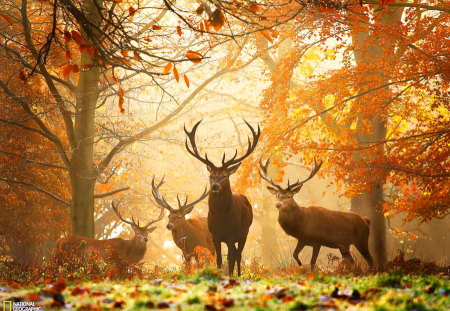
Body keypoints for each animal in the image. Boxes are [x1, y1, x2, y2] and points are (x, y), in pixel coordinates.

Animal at [184, 120, 260, 276]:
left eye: (225, 175)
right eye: (211, 175)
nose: (215, 186)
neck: (222, 218)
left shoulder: (232, 235)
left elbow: (230, 259)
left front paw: (230, 276)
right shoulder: (215, 235)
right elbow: (219, 259)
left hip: (244, 232)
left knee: (238, 255)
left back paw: (238, 275)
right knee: (236, 254)